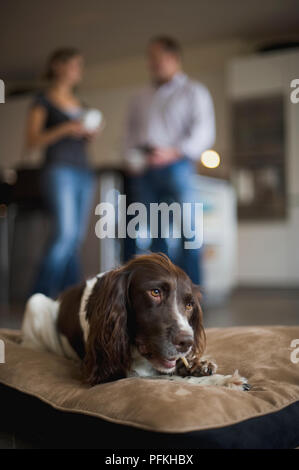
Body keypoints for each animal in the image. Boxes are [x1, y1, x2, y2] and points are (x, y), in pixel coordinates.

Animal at [21, 253, 251, 390]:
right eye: (155, 292)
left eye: (189, 305)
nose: (187, 342)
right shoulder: (110, 372)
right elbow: (169, 378)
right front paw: (224, 381)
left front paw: (199, 365)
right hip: (35, 302)